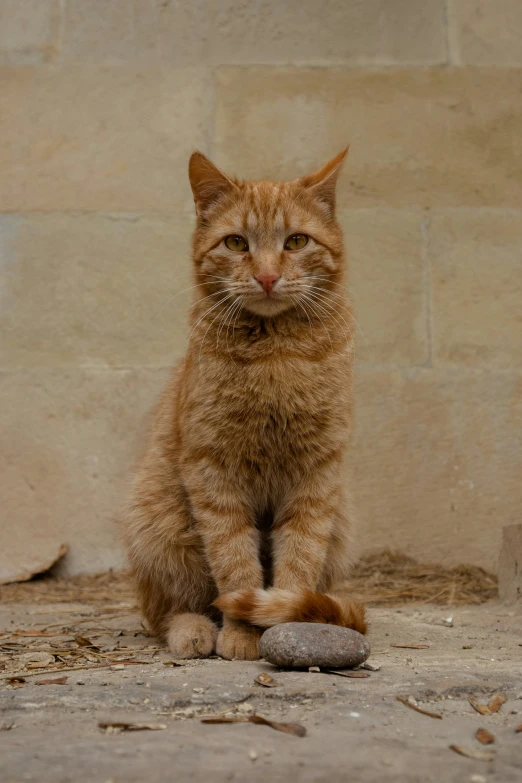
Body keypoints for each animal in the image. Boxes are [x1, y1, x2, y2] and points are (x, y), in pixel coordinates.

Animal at [123, 149, 364, 660]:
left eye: (296, 241)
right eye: (236, 243)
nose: (268, 276)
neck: (275, 353)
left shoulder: (317, 476)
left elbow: (298, 561)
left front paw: (290, 624)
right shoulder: (214, 473)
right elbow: (234, 562)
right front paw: (242, 632)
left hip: (341, 522)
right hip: (157, 521)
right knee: (168, 609)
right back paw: (193, 631)